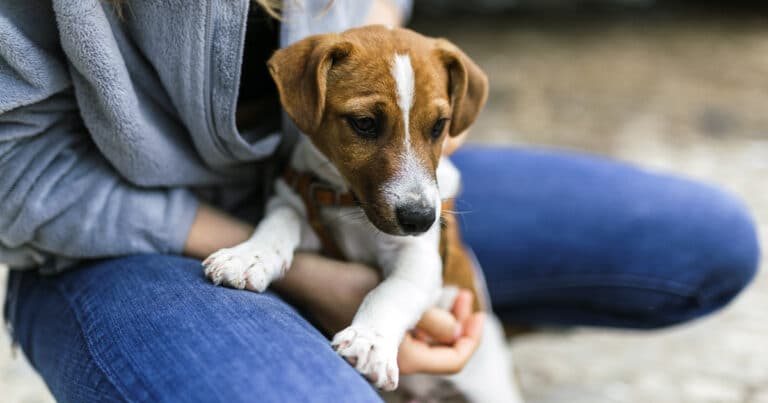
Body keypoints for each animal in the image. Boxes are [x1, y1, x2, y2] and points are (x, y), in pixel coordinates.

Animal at [202, 26, 520, 403]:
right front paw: (249, 256)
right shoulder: (304, 209)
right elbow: (282, 219)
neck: (348, 205)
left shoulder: (421, 256)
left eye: (439, 126)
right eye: (365, 123)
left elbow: (392, 292)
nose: (420, 219)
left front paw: (370, 341)